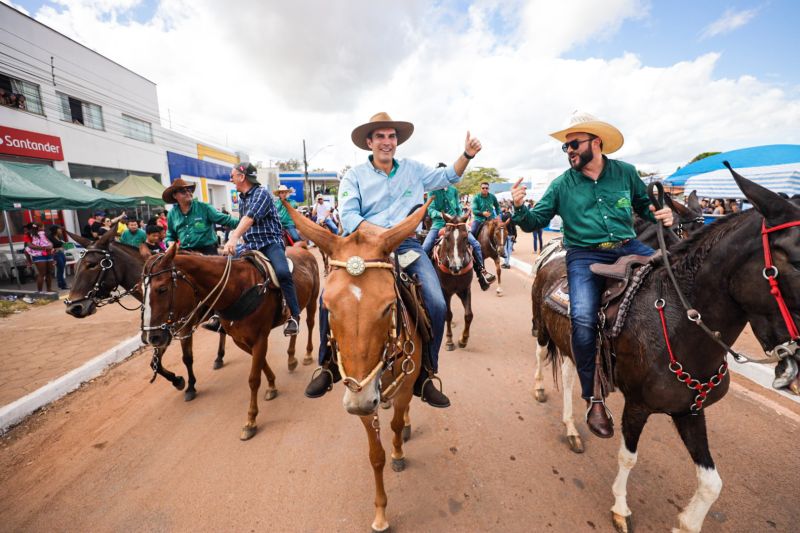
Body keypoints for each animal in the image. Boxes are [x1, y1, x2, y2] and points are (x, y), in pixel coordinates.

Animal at [63, 229, 228, 400]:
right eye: (76, 266)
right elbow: (155, 364)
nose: (73, 307)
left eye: (92, 265)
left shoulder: (184, 327)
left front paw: (190, 386)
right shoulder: (161, 331)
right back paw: (219, 357)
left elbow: (187, 358)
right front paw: (177, 380)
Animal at [141, 243, 318, 438]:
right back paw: (291, 358)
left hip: (313, 300)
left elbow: (253, 378)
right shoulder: (240, 340)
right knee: (295, 327)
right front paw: (272, 385)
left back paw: (307, 354)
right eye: (142, 291)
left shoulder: (259, 338)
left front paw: (251, 421)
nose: (152, 337)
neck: (236, 289)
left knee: (310, 324)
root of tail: (301, 247)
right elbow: (261, 363)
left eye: (162, 289)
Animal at [288, 197, 432, 532]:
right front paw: (380, 514)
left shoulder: (400, 387)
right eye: (329, 307)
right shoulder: (360, 393)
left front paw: (398, 451)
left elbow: (395, 425)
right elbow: (375, 455)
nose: (360, 402)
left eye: (389, 306)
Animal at [434, 212, 472, 350]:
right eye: (446, 237)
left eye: (465, 237)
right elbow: (448, 314)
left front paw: (464, 339)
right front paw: (449, 340)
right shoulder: (444, 291)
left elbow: (468, 315)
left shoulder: (465, 289)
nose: (456, 267)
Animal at [532, 171, 800, 532]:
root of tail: (554, 255)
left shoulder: (690, 410)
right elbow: (628, 457)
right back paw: (544, 393)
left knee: (571, 376)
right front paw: (621, 507)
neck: (676, 325)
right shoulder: (637, 406)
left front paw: (686, 522)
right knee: (544, 361)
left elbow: (712, 483)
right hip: (541, 329)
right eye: (796, 261)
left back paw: (572, 427)